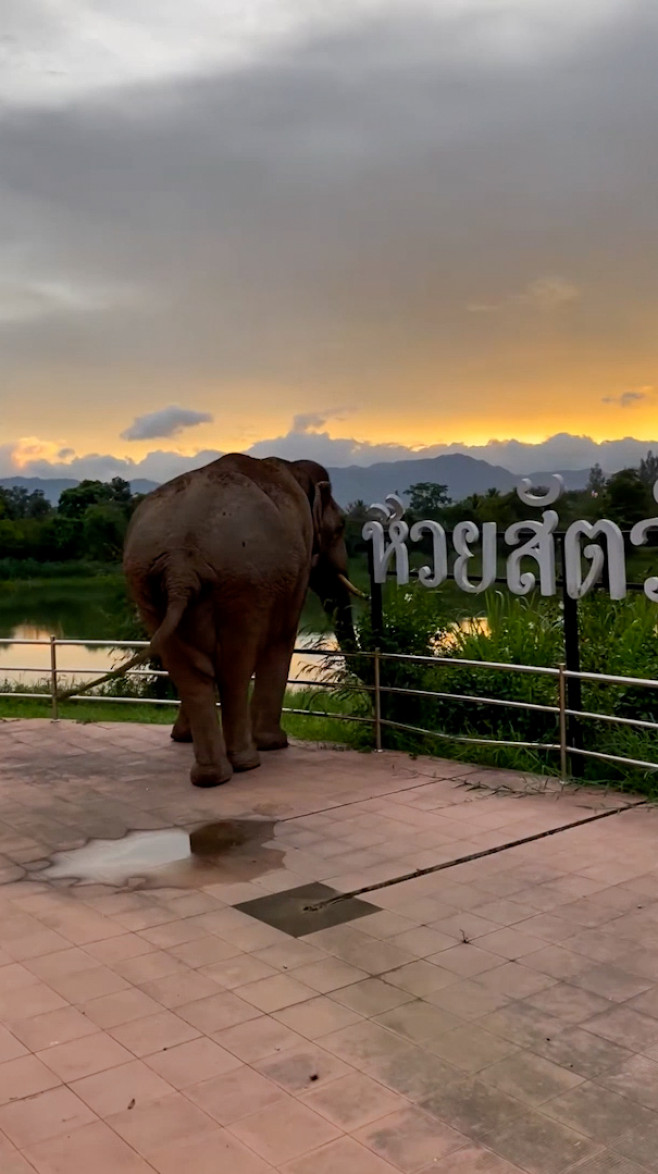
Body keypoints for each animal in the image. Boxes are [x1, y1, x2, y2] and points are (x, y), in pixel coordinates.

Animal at [123, 450, 359, 788]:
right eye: (340, 527)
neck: (293, 469)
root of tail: (181, 563)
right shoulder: (298, 563)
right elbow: (282, 637)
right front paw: (275, 743)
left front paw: (182, 737)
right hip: (244, 583)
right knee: (235, 665)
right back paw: (247, 762)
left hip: (147, 587)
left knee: (190, 671)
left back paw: (211, 776)